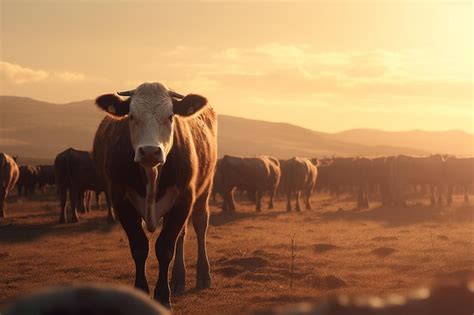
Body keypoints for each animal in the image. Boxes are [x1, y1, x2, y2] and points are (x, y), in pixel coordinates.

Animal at [91, 82, 217, 310]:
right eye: (131, 116)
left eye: (170, 116)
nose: (150, 151)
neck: (151, 173)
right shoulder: (121, 200)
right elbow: (140, 247)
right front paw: (142, 291)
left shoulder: (184, 198)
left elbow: (165, 247)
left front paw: (163, 296)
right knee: (182, 235)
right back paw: (178, 279)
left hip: (204, 189)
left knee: (200, 225)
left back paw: (203, 275)